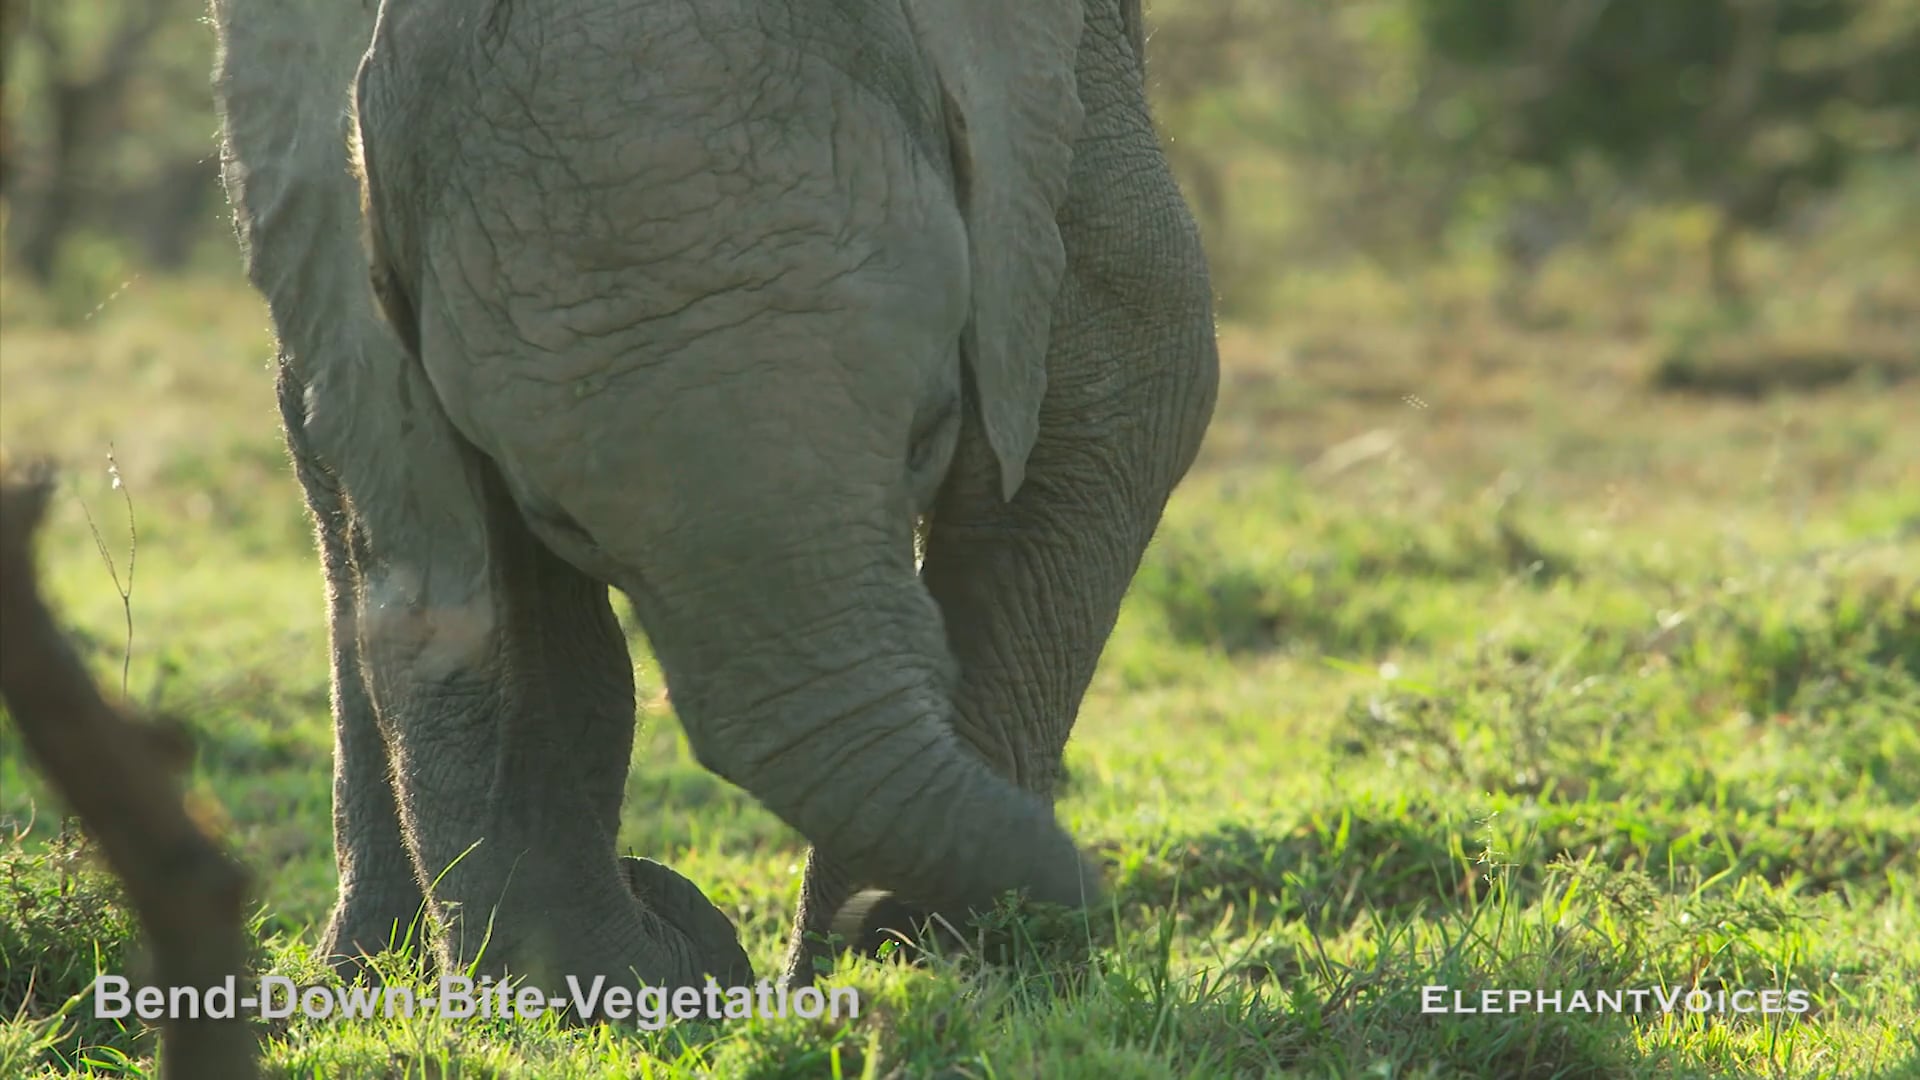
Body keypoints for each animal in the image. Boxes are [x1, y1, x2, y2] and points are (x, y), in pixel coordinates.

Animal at [206, 0, 1213, 999]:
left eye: (928, 434)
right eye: (566, 521)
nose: (873, 929)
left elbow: (1118, 381)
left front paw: (944, 966)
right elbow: (448, 575)